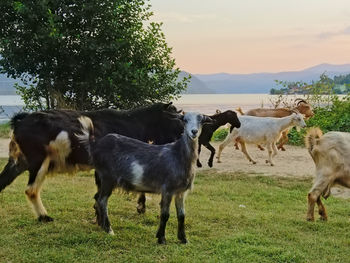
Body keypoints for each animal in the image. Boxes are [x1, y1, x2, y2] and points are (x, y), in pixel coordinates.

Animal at [0, 103, 185, 223]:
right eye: (175, 119)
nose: (185, 135)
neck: (132, 122)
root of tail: (20, 121)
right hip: (39, 161)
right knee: (31, 190)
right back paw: (44, 217)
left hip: (18, 161)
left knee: (3, 181)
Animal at [77, 112, 212, 244]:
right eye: (184, 120)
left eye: (201, 120)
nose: (194, 132)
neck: (178, 156)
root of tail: (95, 144)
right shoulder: (167, 189)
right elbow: (165, 214)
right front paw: (161, 238)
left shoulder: (181, 192)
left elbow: (182, 215)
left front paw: (183, 238)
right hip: (107, 177)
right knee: (102, 201)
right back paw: (109, 229)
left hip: (102, 179)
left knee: (97, 198)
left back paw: (101, 224)